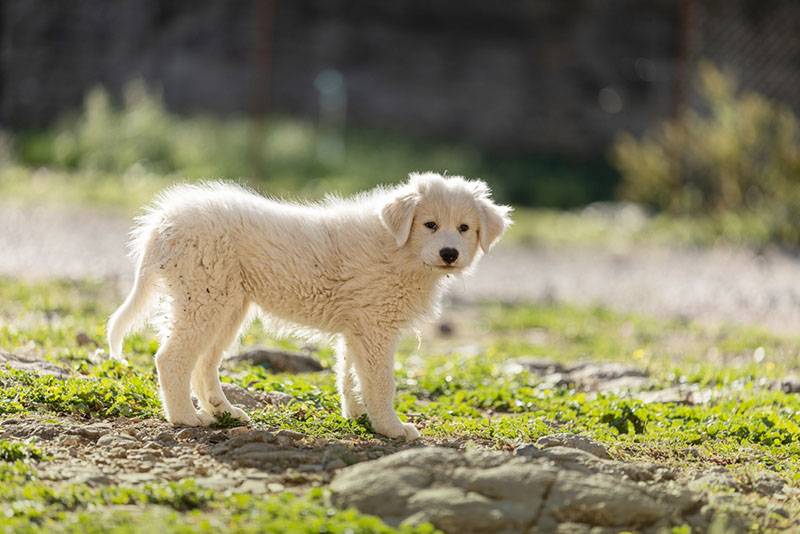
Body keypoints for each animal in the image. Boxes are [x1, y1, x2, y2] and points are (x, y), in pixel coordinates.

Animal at [108, 174, 512, 442]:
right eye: (430, 224)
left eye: (464, 227)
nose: (450, 253)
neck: (399, 248)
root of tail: (163, 221)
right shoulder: (376, 327)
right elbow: (381, 382)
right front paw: (391, 428)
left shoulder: (358, 328)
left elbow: (351, 376)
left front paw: (359, 417)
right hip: (204, 298)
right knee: (172, 359)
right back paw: (185, 418)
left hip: (226, 305)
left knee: (203, 363)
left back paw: (222, 412)